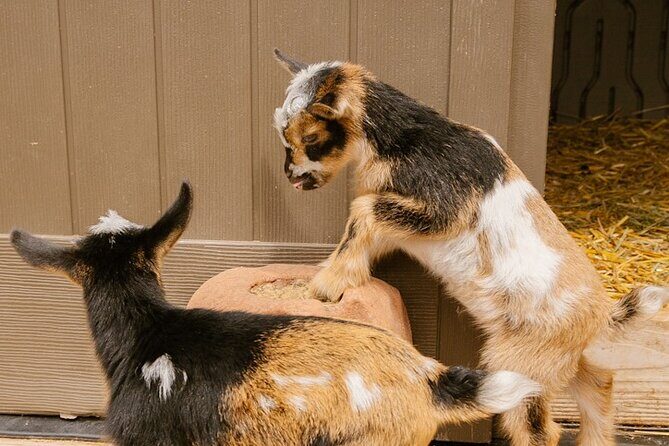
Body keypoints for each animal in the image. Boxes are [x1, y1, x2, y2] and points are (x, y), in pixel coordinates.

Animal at [271, 49, 669, 446]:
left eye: (311, 135)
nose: (291, 176)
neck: (404, 140)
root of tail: (601, 314)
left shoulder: (442, 211)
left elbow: (363, 210)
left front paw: (325, 287)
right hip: (557, 360)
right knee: (599, 386)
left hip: (525, 363)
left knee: (542, 430)